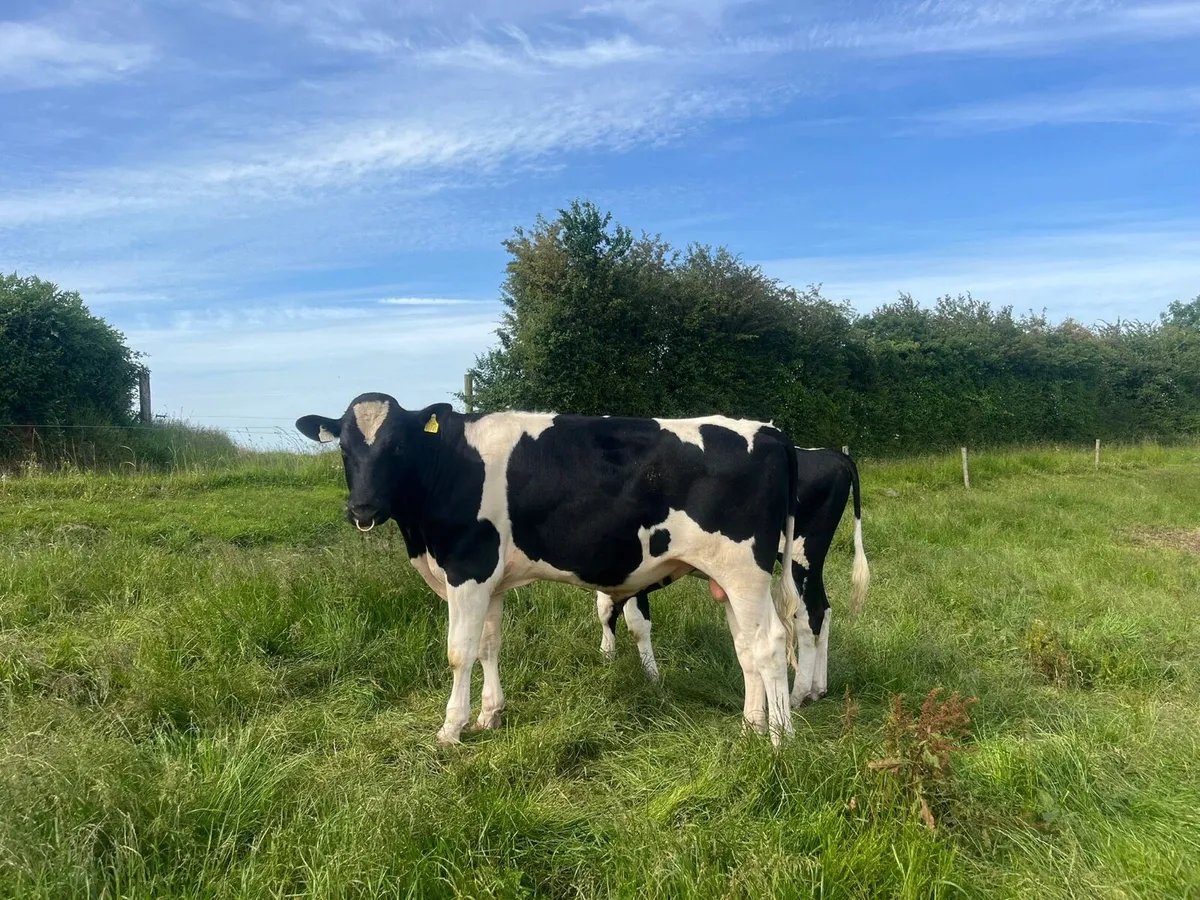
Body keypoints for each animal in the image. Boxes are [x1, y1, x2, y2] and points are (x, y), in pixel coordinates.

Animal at [296, 393, 805, 746]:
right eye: (344, 449)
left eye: (398, 446)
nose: (363, 508)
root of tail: (769, 431)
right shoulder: (492, 582)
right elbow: (489, 644)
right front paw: (490, 715)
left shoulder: (468, 568)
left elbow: (459, 651)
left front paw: (450, 729)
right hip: (728, 579)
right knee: (746, 647)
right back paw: (751, 727)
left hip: (743, 570)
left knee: (770, 643)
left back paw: (779, 741)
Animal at [596, 448, 869, 708]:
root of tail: (831, 455)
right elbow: (606, 610)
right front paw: (607, 658)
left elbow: (632, 621)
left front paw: (648, 677)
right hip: (811, 566)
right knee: (823, 609)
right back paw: (817, 689)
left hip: (799, 558)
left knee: (808, 617)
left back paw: (796, 695)